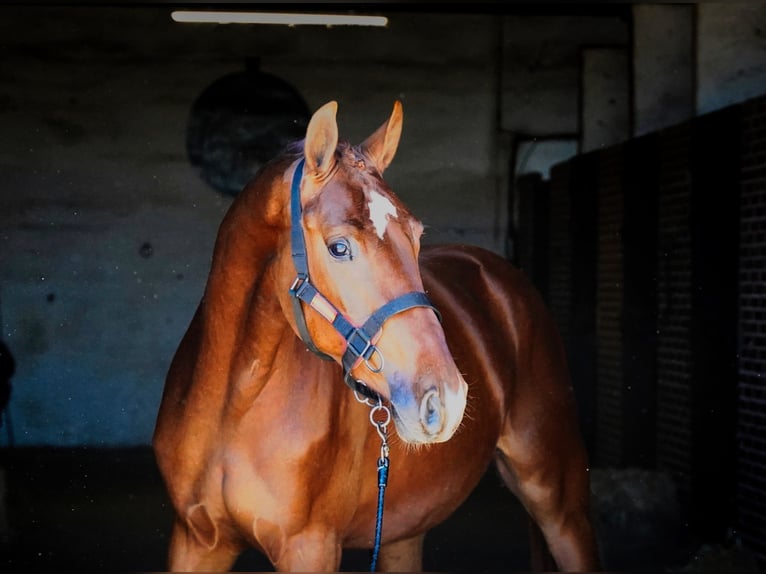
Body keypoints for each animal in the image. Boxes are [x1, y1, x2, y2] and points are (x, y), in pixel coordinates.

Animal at [153, 100, 600, 571]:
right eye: (339, 247)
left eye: (416, 235)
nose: (447, 398)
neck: (233, 405)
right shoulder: (196, 541)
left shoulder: (309, 548)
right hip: (403, 529)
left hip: (560, 501)